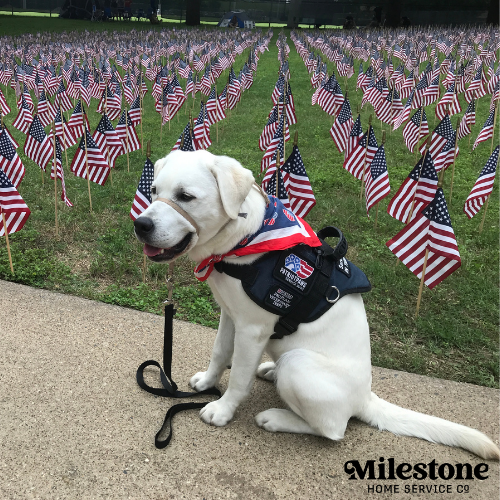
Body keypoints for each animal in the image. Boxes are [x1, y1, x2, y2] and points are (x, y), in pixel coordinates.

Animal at [134, 149, 500, 460]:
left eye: (186, 196)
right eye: (153, 190)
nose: (141, 224)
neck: (244, 238)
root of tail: (365, 398)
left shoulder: (253, 330)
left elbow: (238, 377)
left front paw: (223, 409)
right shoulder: (230, 313)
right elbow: (220, 352)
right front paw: (208, 383)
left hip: (299, 365)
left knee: (333, 430)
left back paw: (276, 418)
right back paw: (269, 371)